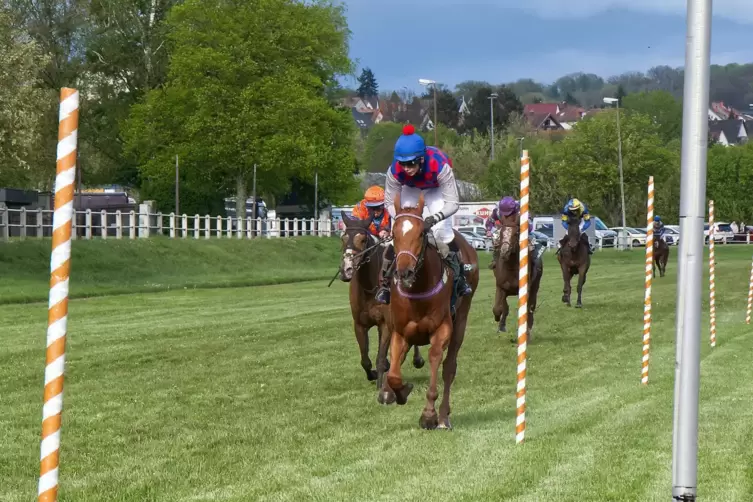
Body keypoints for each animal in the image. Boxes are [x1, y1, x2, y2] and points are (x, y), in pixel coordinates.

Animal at [340, 213, 426, 384]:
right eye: (343, 237)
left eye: (363, 239)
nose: (346, 269)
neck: (370, 287)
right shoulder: (359, 324)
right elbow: (365, 360)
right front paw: (372, 374)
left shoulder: (386, 324)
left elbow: (380, 357)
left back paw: (417, 359)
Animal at [378, 194, 478, 430]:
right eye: (394, 234)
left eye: (421, 233)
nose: (404, 271)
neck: (418, 289)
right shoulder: (400, 331)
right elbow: (394, 372)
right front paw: (398, 391)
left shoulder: (441, 329)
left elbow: (435, 358)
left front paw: (429, 415)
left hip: (461, 319)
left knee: (449, 367)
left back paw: (443, 416)